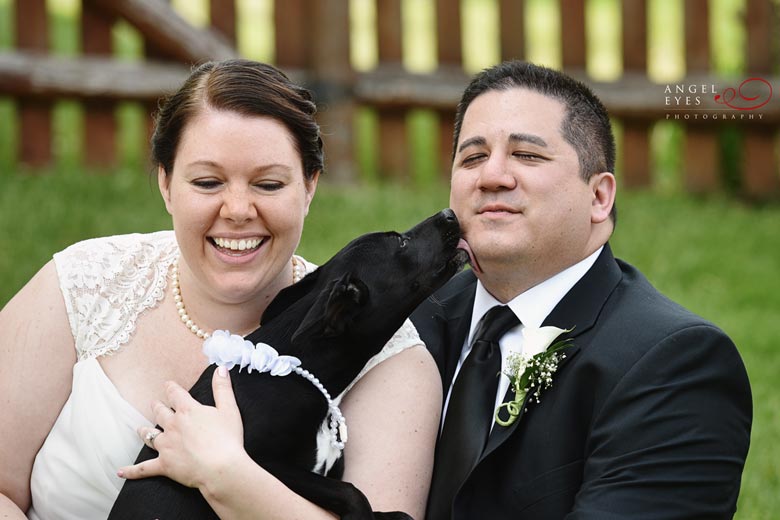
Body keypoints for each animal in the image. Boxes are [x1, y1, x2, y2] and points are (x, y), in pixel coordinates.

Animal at [107, 210, 466, 520]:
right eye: (401, 243)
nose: (449, 213)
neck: (296, 373)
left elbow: (396, 513)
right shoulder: (256, 461)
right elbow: (352, 493)